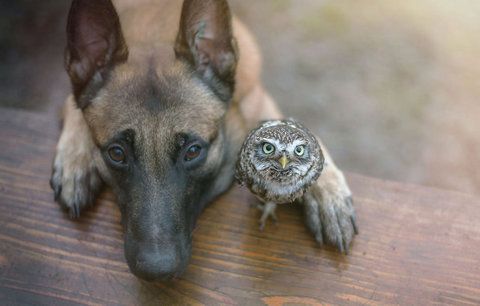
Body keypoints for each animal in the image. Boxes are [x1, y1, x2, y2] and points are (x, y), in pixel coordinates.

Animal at [49, 0, 356, 282]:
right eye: (116, 153)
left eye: (193, 151)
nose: (156, 271)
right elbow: (73, 108)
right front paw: (75, 161)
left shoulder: (259, 100)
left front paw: (327, 192)